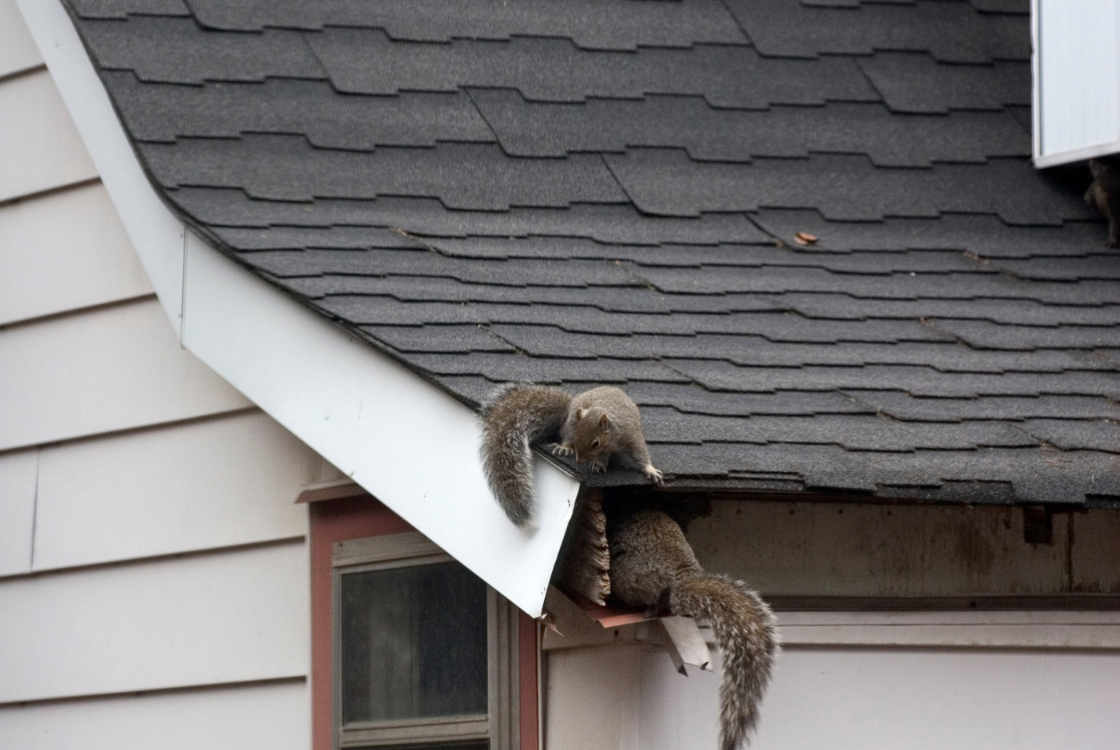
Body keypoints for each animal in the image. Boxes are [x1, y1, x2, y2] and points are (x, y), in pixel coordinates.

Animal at [479, 383, 664, 528]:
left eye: (595, 442)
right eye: (578, 436)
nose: (579, 460)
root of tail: (571, 407)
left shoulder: (630, 436)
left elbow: (640, 453)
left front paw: (650, 469)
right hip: (571, 421)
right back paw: (565, 448)